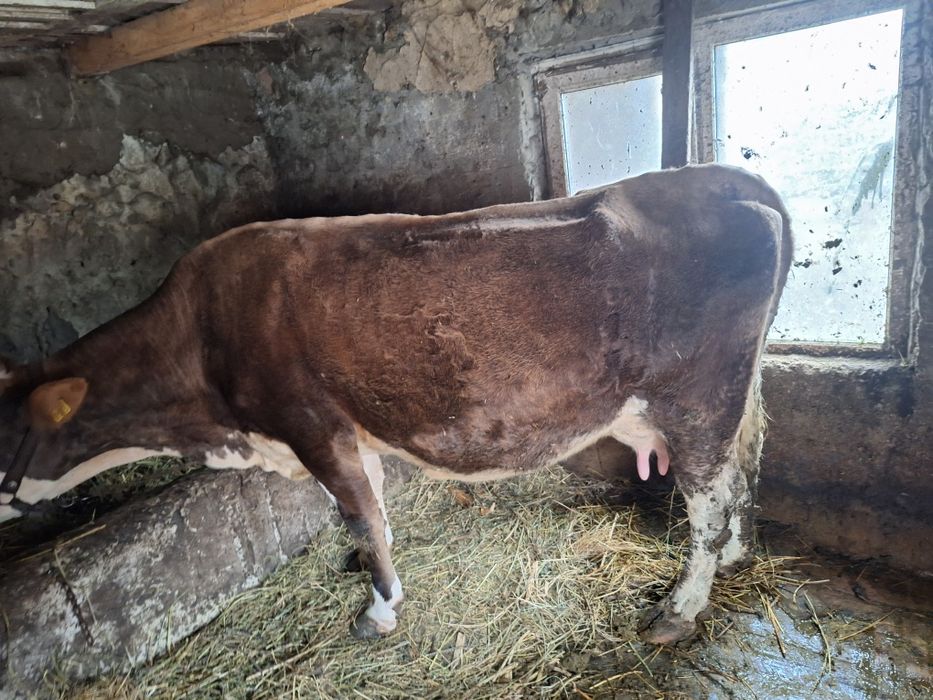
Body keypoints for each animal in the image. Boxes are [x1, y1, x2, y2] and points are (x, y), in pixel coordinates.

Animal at [0, 164, 791, 645]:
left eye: (2, 431)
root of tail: (717, 178)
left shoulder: (310, 423)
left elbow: (356, 513)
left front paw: (378, 610)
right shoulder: (350, 429)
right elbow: (373, 508)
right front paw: (368, 574)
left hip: (695, 399)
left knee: (708, 500)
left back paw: (679, 609)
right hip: (735, 391)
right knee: (743, 469)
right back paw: (732, 559)